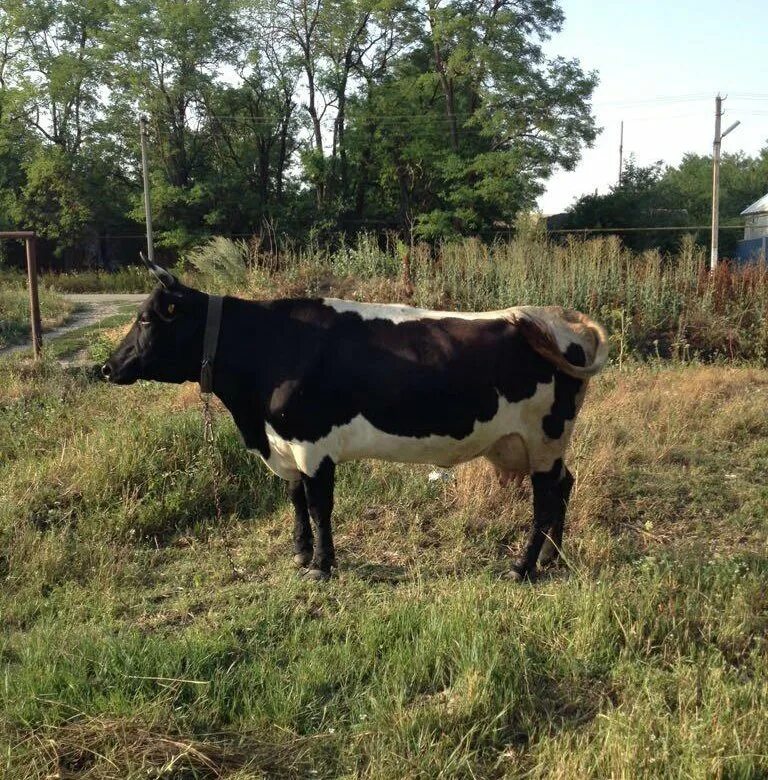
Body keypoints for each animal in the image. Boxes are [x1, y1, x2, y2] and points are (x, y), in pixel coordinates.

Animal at [102, 262, 608, 580]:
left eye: (147, 319)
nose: (106, 367)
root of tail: (561, 318)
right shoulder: (285, 445)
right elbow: (296, 501)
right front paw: (301, 554)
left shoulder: (313, 444)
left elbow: (319, 505)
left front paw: (322, 566)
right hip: (537, 445)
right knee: (564, 487)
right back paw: (551, 559)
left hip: (544, 438)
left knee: (544, 502)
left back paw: (523, 567)